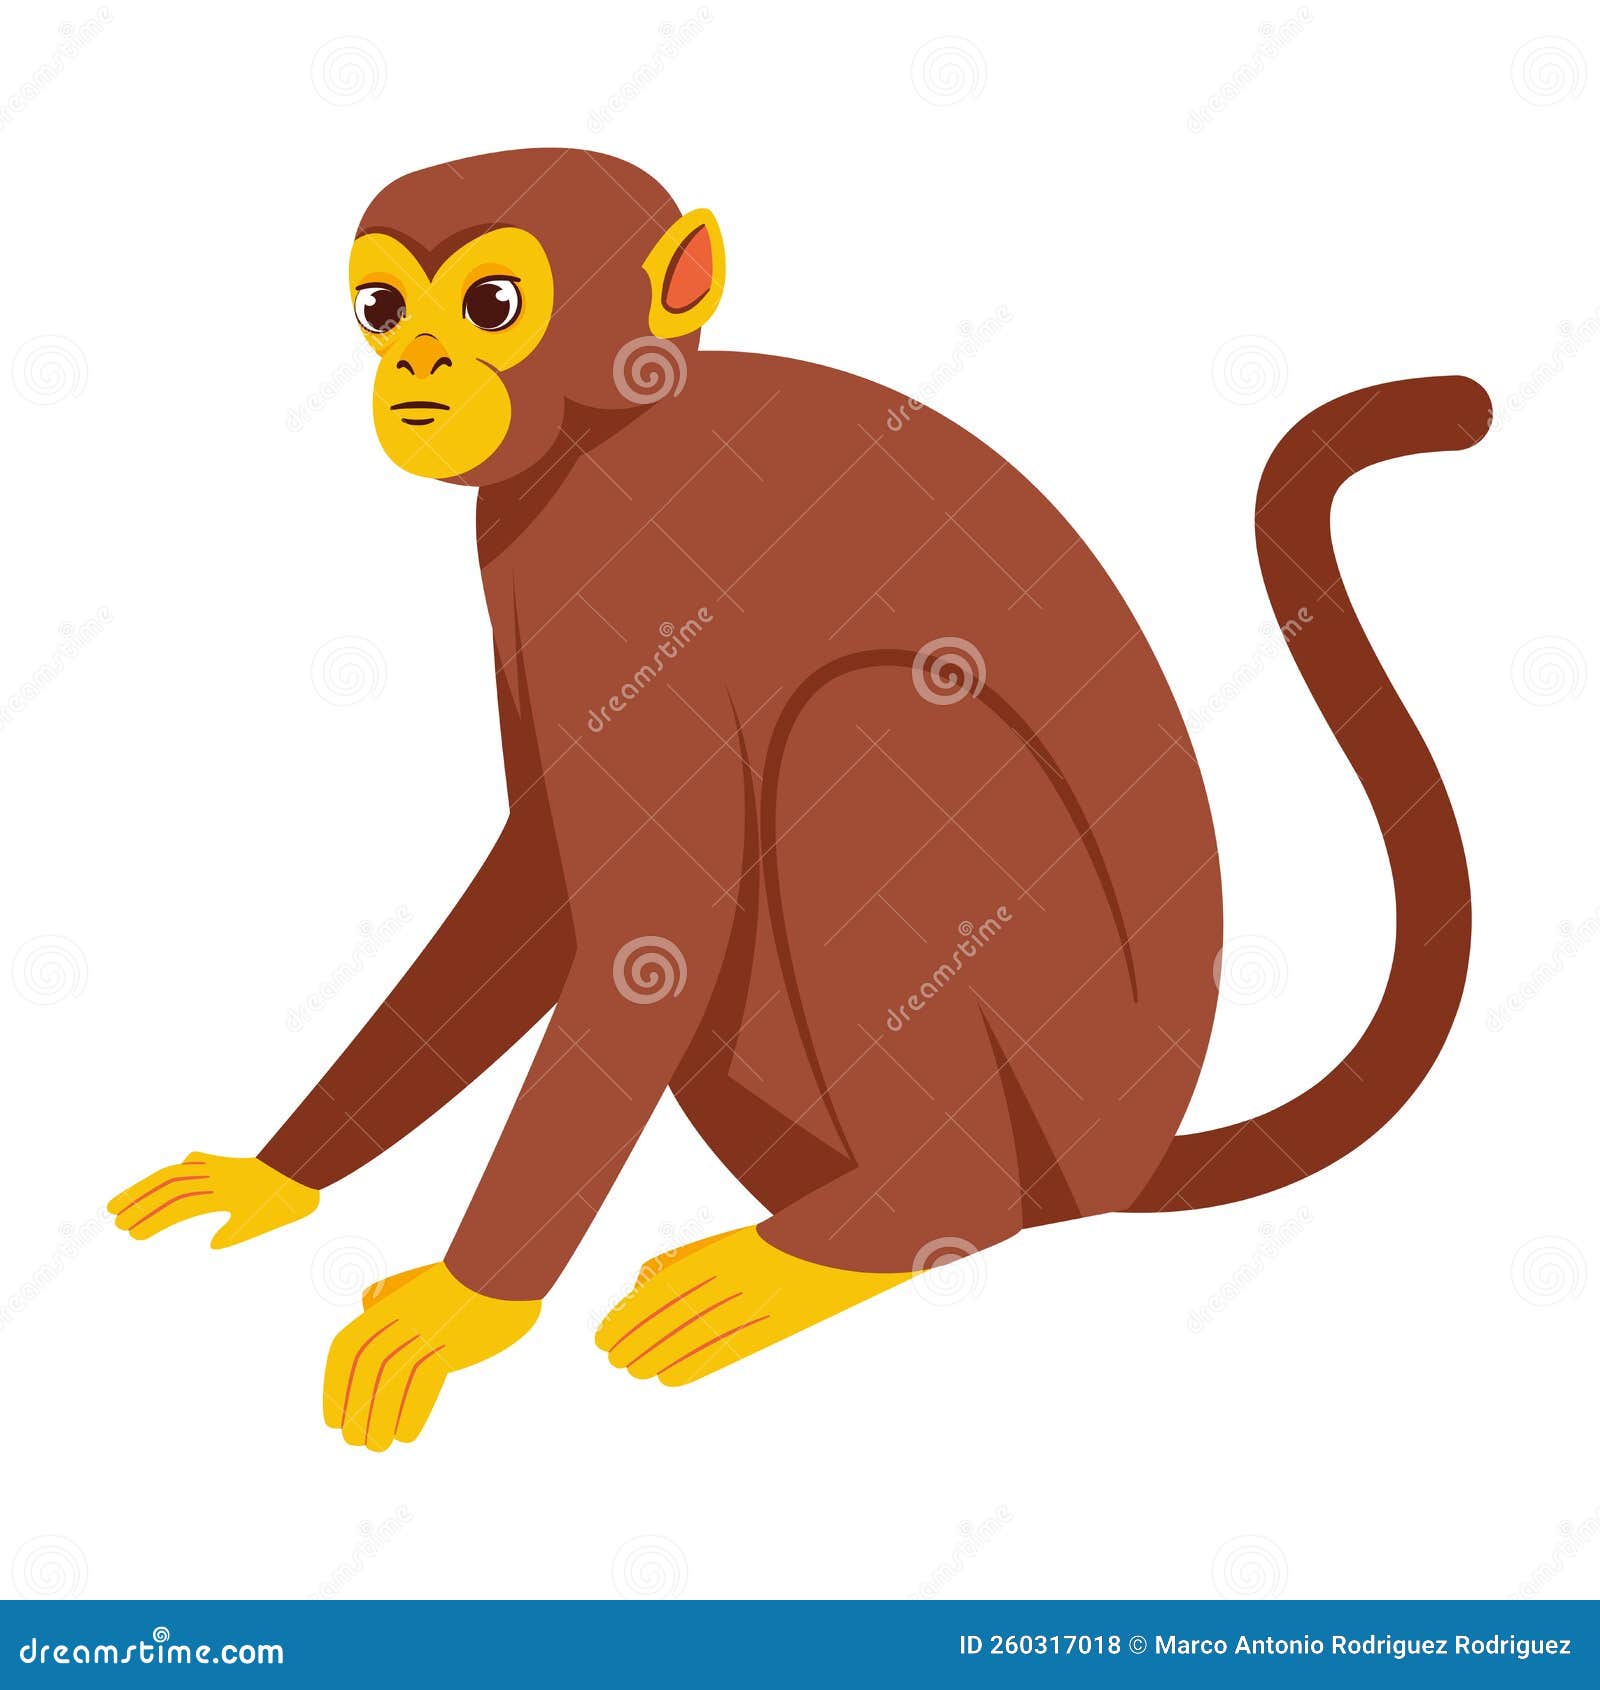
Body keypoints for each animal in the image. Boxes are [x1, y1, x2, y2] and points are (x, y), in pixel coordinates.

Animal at [107, 148, 1491, 1450]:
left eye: (493, 303)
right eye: (383, 306)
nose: (418, 359)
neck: (608, 432)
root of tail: (1135, 1144)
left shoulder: (623, 563)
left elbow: (646, 930)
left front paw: (466, 1304)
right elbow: (548, 888)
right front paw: (276, 1175)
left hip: (1068, 1058)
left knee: (865, 729)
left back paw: (893, 1222)